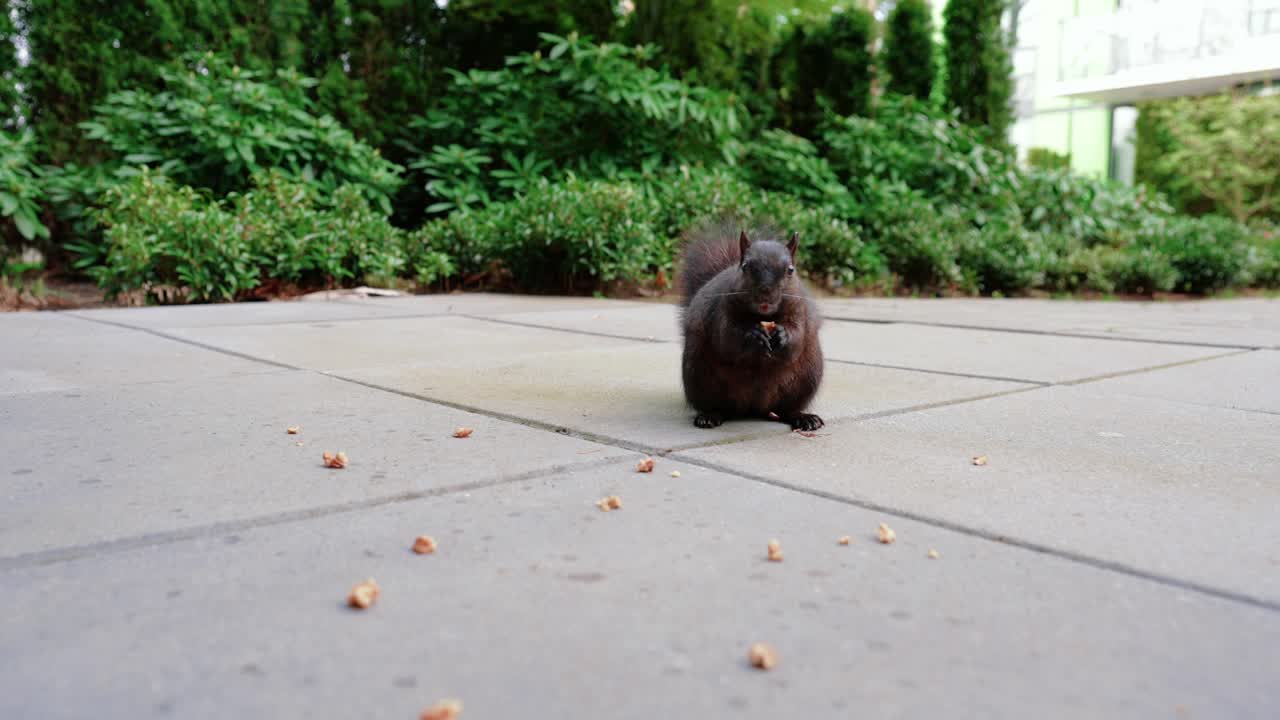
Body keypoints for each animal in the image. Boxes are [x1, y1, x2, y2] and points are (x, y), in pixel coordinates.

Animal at [676, 221, 824, 431]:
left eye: (790, 270)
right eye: (745, 267)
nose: (765, 293)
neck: (762, 316)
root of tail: (754, 408)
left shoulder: (799, 310)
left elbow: (797, 335)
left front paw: (782, 335)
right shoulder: (721, 310)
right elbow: (726, 337)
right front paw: (753, 335)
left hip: (807, 378)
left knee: (787, 410)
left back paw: (804, 418)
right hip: (699, 375)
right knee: (717, 405)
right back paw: (710, 416)